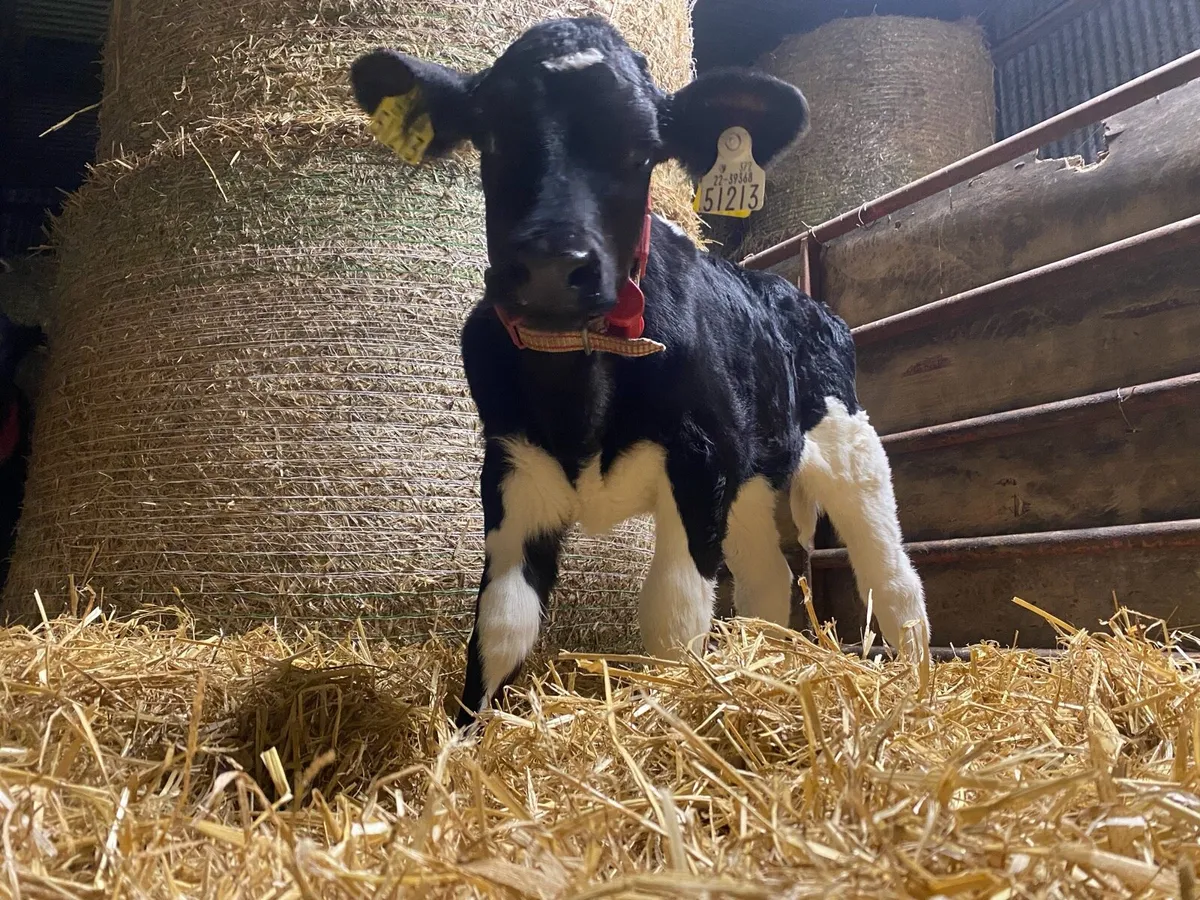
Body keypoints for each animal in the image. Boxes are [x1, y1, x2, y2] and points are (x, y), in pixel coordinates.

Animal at [350, 16, 930, 727]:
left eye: (643, 151)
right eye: (492, 135)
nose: (551, 264)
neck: (578, 389)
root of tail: (791, 291)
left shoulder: (698, 461)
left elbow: (674, 616)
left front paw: (676, 709)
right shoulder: (512, 467)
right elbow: (501, 623)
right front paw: (461, 741)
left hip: (850, 448)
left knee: (893, 575)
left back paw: (918, 683)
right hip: (749, 475)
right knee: (765, 576)